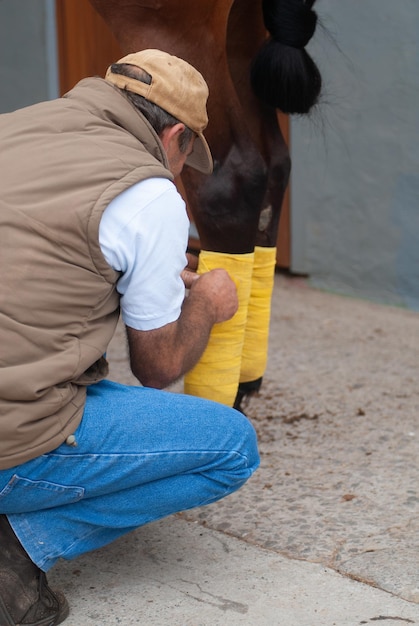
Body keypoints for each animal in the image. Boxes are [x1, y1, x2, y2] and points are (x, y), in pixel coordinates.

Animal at [88, 0, 322, 410]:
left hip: (164, 24)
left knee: (234, 178)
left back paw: (217, 395)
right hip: (243, 25)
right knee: (275, 163)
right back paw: (246, 374)